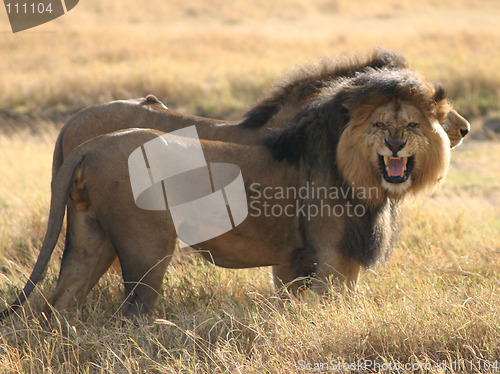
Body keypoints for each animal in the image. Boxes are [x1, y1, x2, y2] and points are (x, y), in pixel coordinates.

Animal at [0, 68, 452, 318]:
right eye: (380, 125)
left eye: (412, 125)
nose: (396, 145)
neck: (363, 177)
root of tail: (89, 144)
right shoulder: (330, 258)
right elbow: (329, 307)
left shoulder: (308, 261)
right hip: (147, 244)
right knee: (134, 310)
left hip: (88, 236)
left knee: (58, 303)